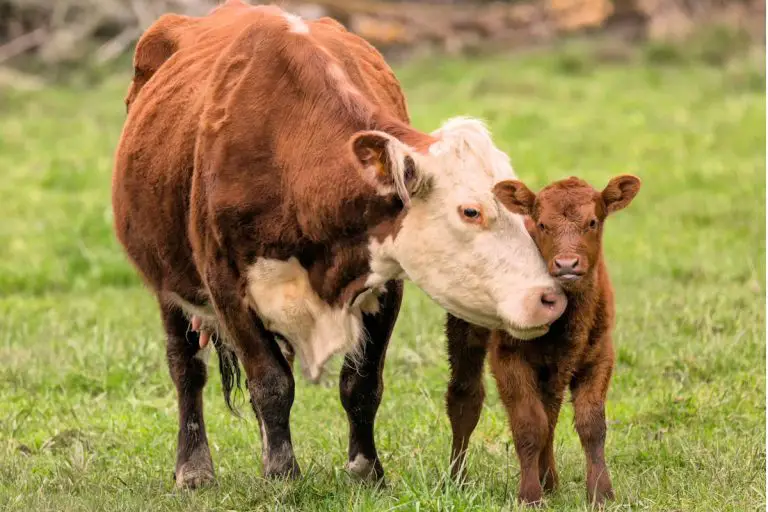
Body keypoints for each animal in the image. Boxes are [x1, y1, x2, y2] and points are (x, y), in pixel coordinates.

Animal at [112, 0, 564, 486]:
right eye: (471, 211)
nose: (549, 298)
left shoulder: (385, 281)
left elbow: (360, 384)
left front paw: (366, 469)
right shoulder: (226, 285)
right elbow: (271, 382)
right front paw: (283, 475)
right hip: (168, 284)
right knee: (186, 367)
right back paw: (194, 468)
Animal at [448, 175, 640, 504]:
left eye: (592, 222)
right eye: (542, 224)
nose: (566, 264)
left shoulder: (600, 355)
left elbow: (591, 425)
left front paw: (601, 492)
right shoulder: (508, 356)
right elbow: (528, 424)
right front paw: (529, 495)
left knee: (550, 411)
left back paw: (550, 480)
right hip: (464, 327)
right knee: (464, 397)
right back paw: (457, 480)